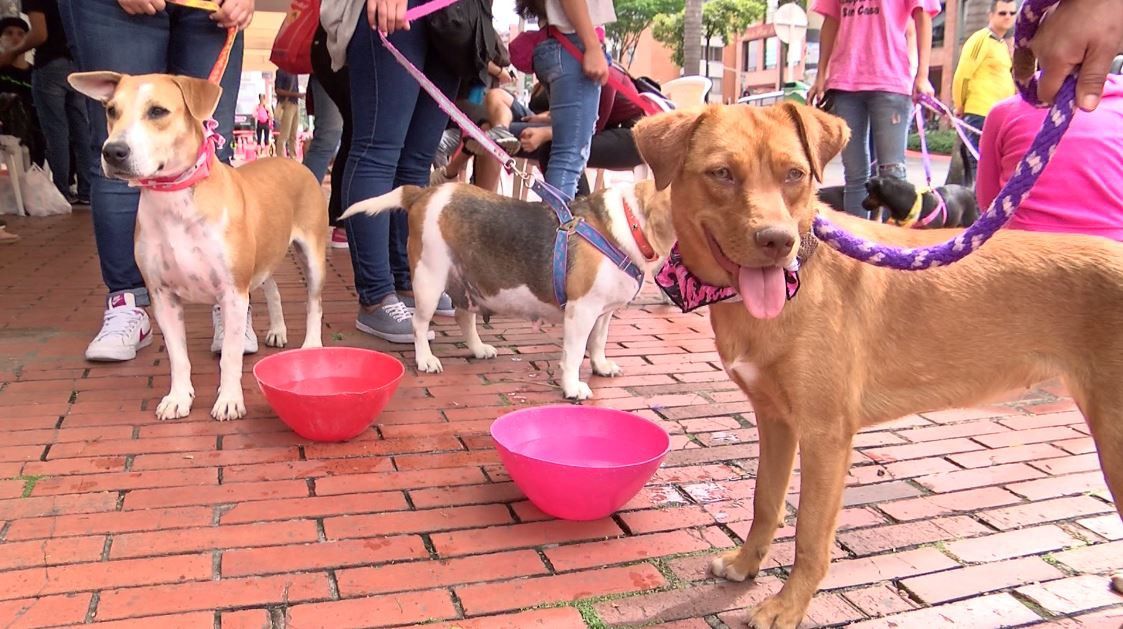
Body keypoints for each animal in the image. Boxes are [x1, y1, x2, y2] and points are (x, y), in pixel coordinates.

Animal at [69, 71, 327, 420]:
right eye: (111, 111)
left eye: (158, 111)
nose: (113, 151)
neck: (175, 199)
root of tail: (289, 160)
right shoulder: (163, 297)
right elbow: (178, 357)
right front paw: (178, 398)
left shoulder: (233, 293)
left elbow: (230, 356)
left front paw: (229, 400)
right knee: (272, 287)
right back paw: (277, 329)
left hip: (312, 255)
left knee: (314, 302)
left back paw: (311, 345)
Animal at [633, 102, 1123, 629]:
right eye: (721, 173)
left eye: (795, 174)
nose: (777, 242)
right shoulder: (775, 419)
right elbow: (766, 501)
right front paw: (747, 564)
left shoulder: (826, 433)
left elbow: (810, 534)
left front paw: (788, 606)